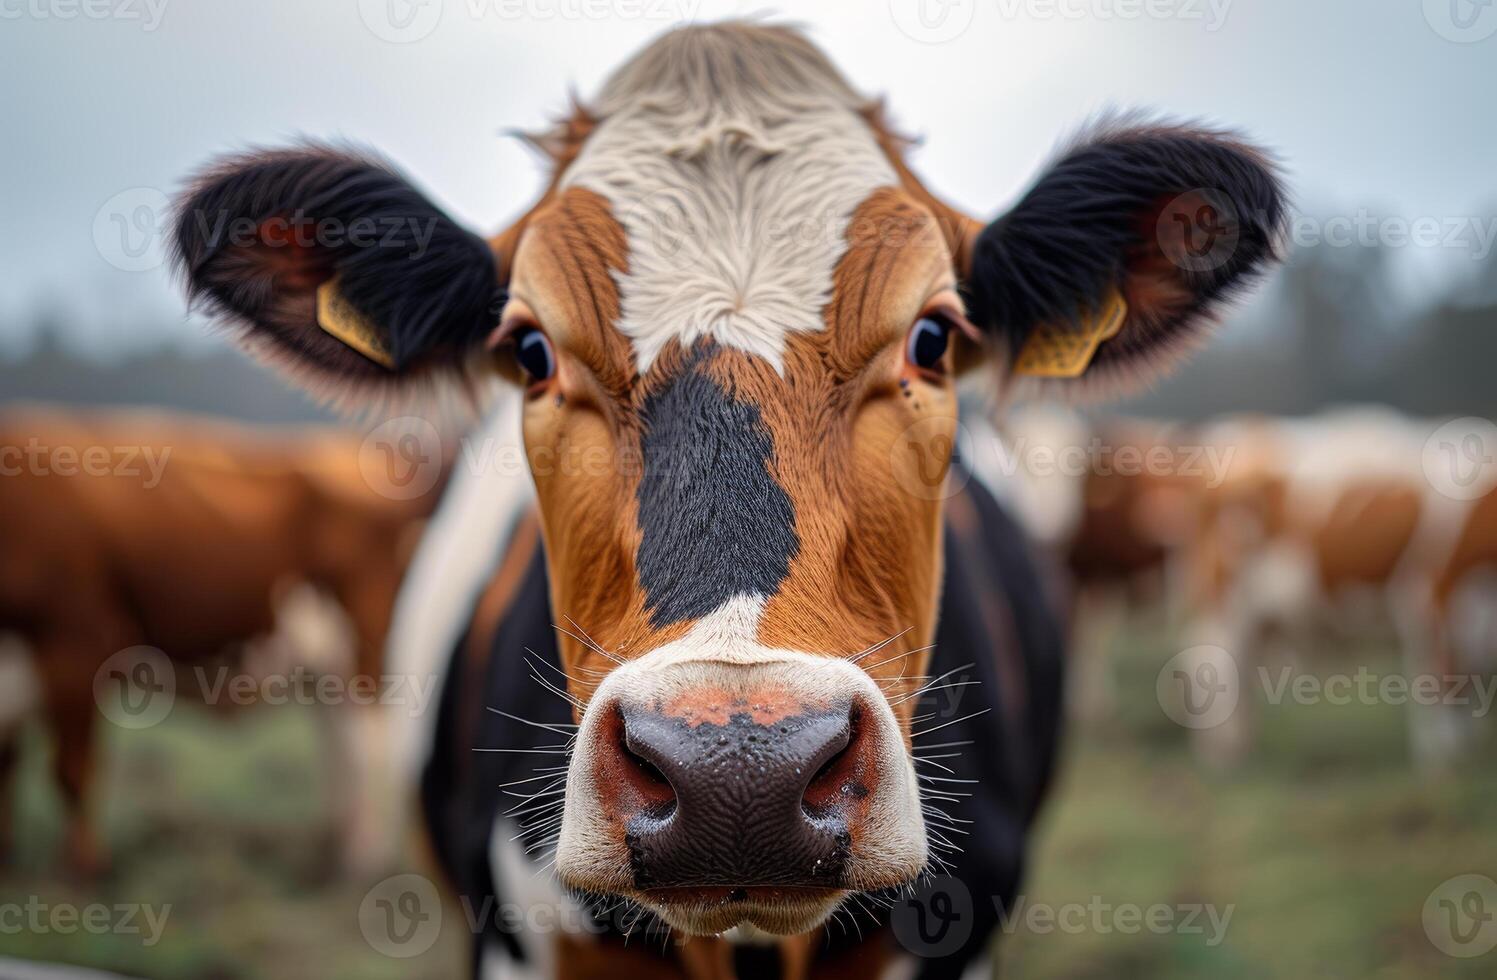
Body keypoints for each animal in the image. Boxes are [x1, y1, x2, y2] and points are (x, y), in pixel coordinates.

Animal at [0, 406, 437, 873]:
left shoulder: (78, 641)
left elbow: (73, 770)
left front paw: (84, 867)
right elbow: (9, 763)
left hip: (364, 653)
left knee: (367, 750)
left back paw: (364, 858)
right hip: (327, 667)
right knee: (338, 745)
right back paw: (335, 847)